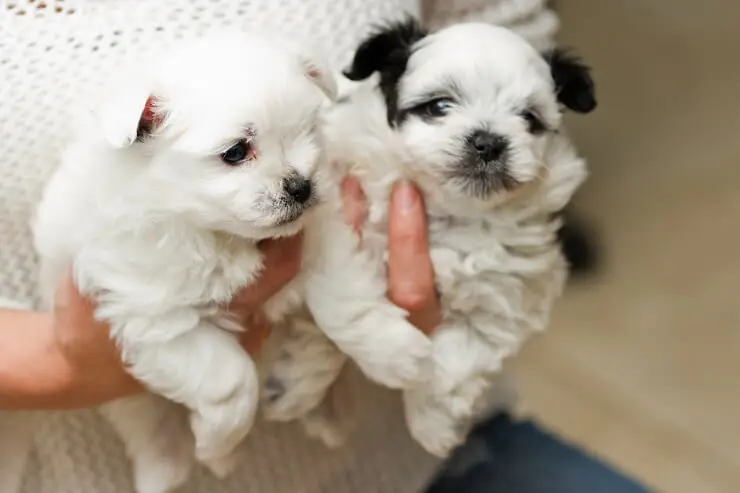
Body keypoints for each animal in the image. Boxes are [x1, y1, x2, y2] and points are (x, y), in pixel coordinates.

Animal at [31, 28, 430, 490]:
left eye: (308, 131)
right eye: (236, 152)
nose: (302, 186)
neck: (221, 234)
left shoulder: (321, 237)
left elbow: (346, 300)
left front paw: (395, 352)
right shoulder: (154, 316)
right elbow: (231, 379)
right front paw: (217, 442)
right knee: (149, 423)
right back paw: (173, 465)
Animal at [264, 19, 600, 458]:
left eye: (529, 119)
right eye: (439, 107)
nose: (489, 141)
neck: (445, 208)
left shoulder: (506, 292)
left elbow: (461, 354)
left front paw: (433, 422)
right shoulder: (334, 224)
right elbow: (341, 301)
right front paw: (388, 355)